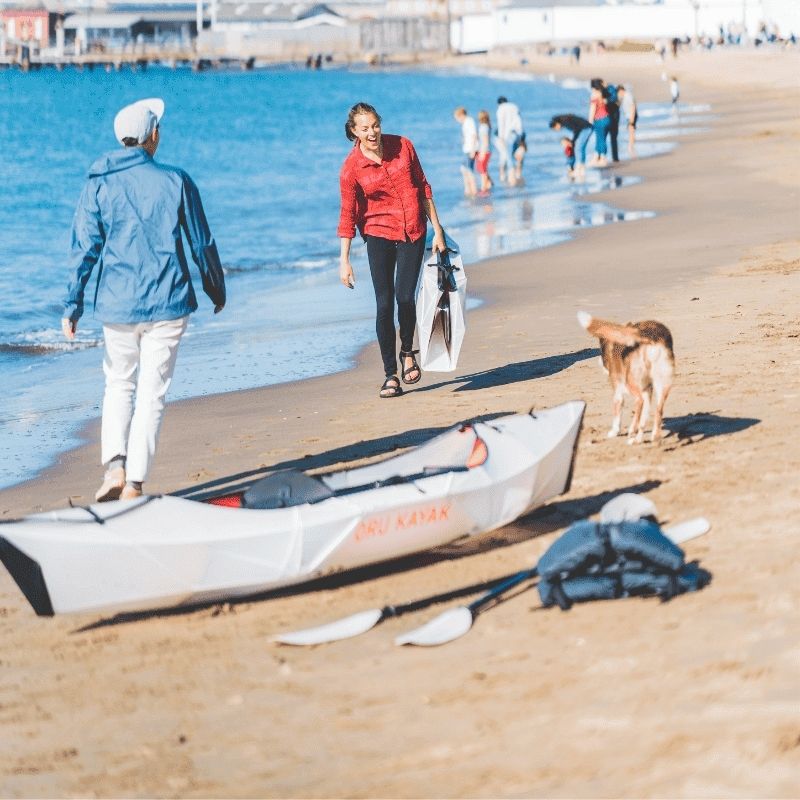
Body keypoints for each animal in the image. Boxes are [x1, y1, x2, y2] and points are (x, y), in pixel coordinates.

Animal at [580, 310, 672, 444]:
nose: (600, 363)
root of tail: (648, 337)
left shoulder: (618, 387)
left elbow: (618, 411)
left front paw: (614, 431)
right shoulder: (648, 388)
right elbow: (644, 416)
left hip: (630, 381)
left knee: (639, 400)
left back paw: (632, 430)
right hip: (662, 383)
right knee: (658, 409)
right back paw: (647, 438)